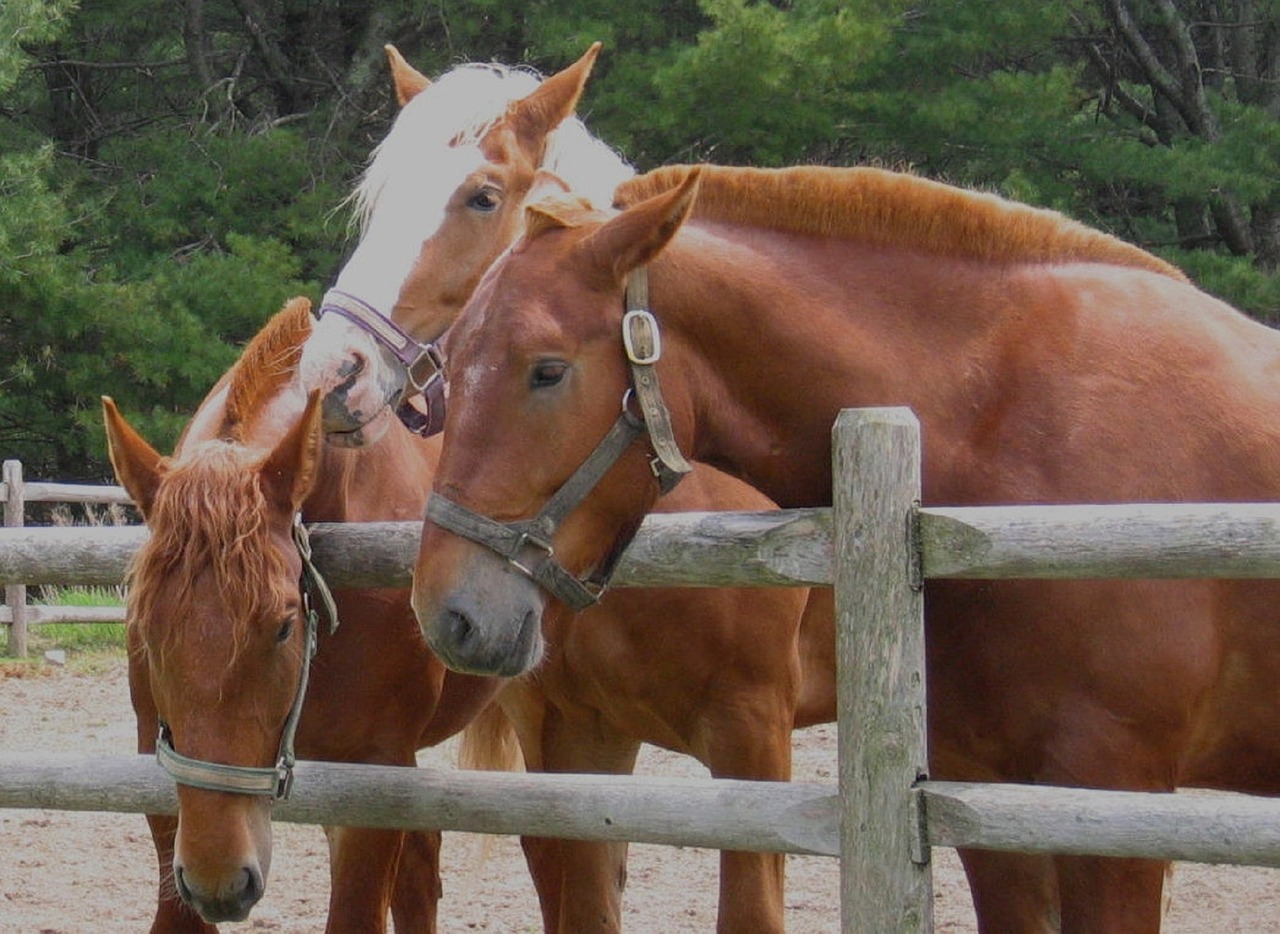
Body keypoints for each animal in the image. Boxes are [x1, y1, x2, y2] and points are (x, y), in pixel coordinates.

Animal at [412, 163, 1280, 926]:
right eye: (448, 365)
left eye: (547, 371)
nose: (447, 613)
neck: (1012, 431)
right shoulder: (984, 799)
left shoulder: (1109, 805)